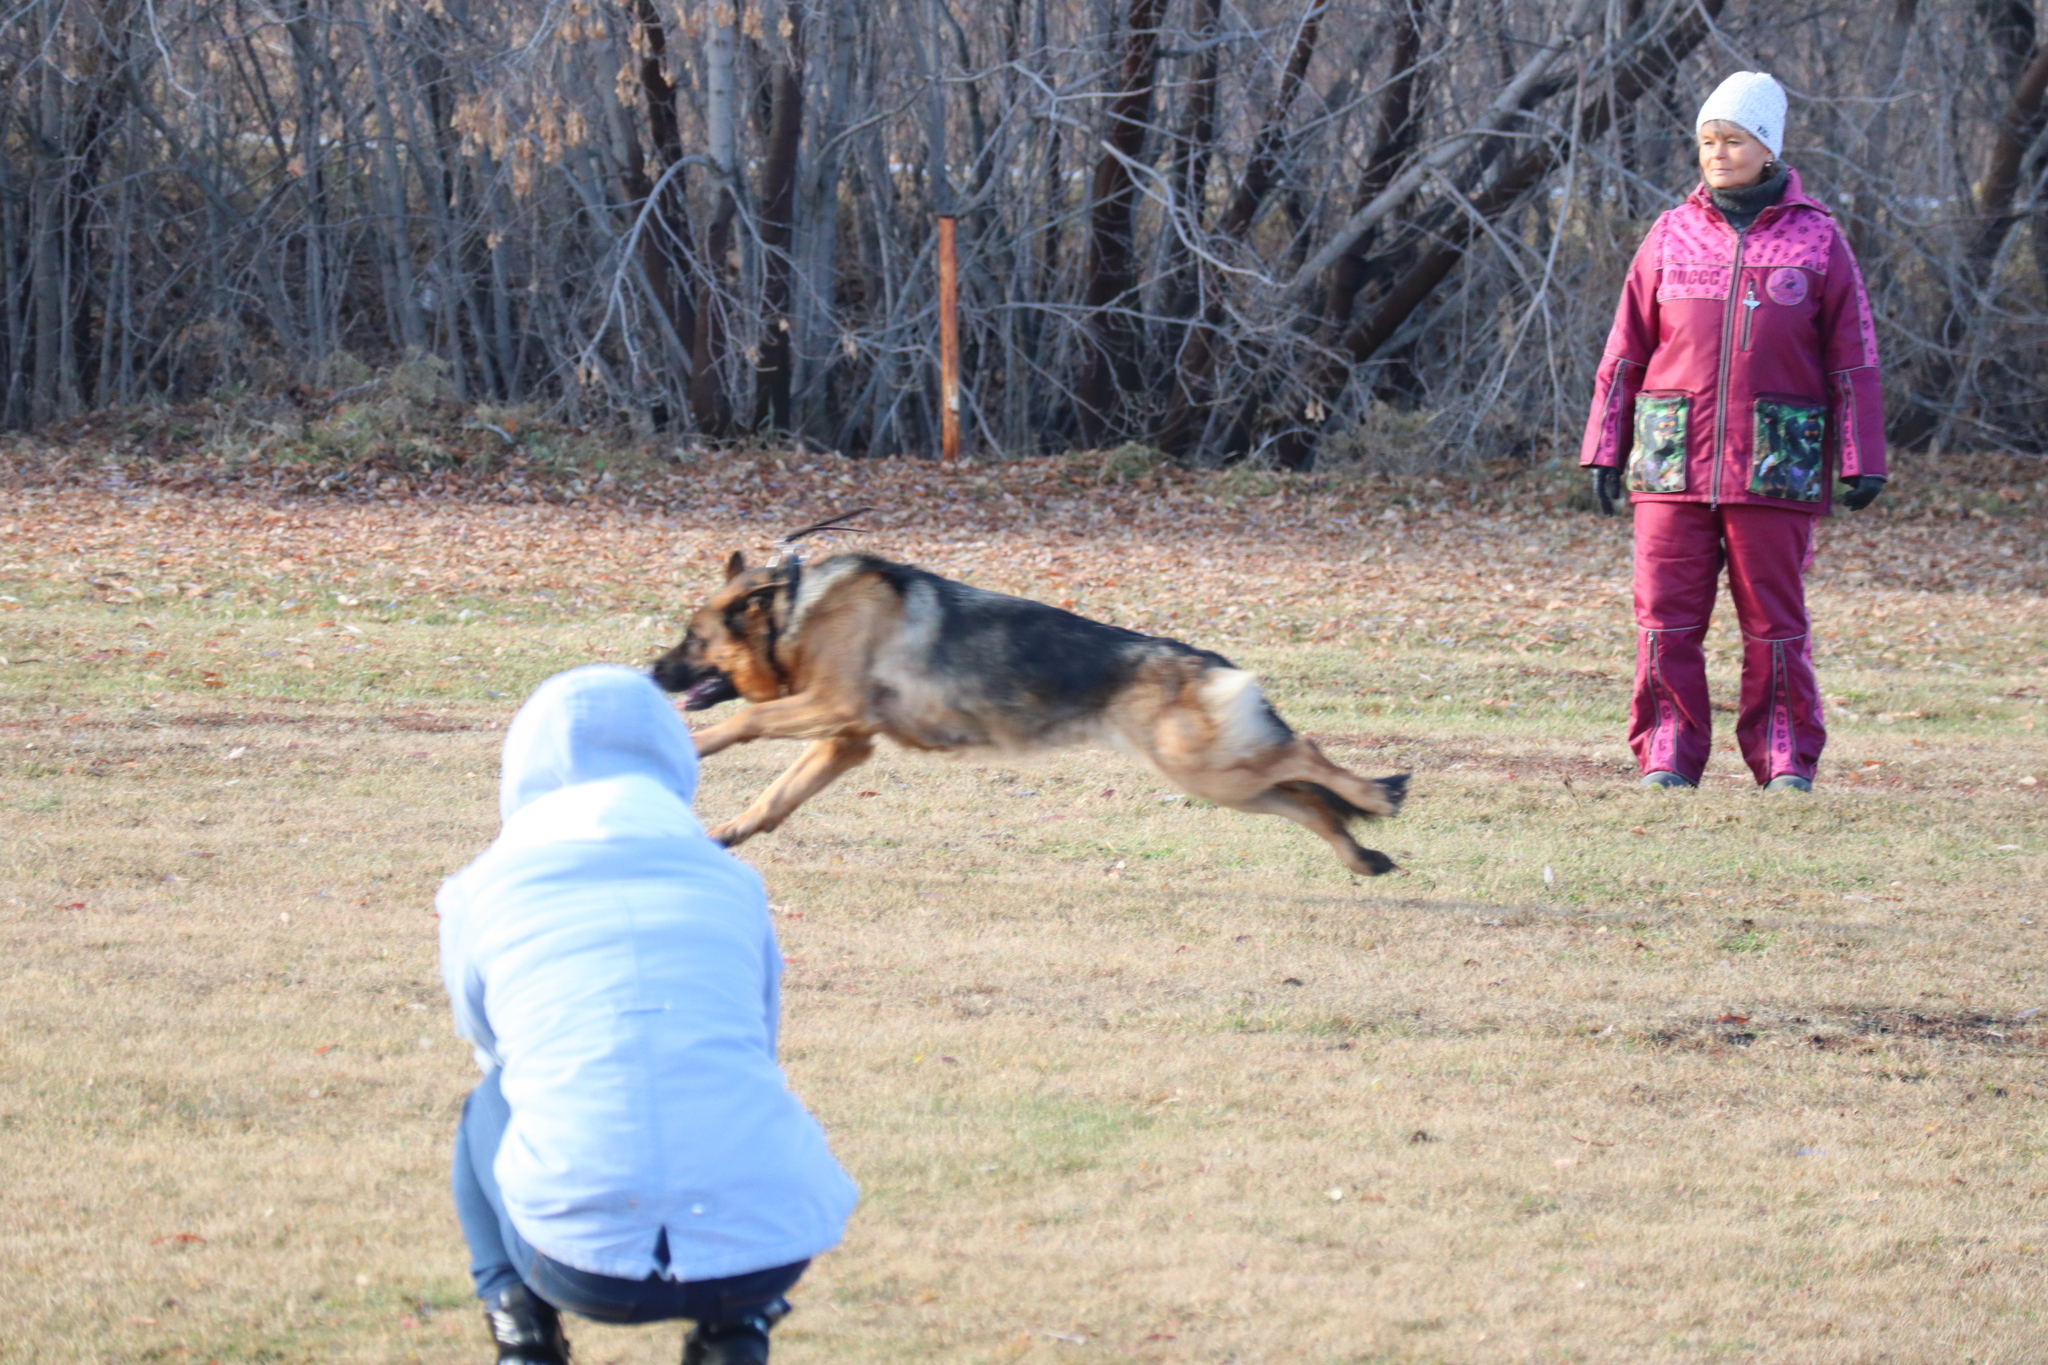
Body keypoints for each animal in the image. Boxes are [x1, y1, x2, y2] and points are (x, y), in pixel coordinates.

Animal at [655, 548, 1409, 871]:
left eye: (694, 638)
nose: (653, 672)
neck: (795, 612)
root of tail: (1210, 661)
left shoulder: (827, 705)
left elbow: (743, 722)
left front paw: (691, 744)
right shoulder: (845, 740)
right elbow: (775, 798)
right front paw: (725, 836)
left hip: (1208, 768)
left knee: (1307, 755)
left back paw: (1381, 791)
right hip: (1221, 779)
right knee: (1307, 802)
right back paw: (1362, 856)